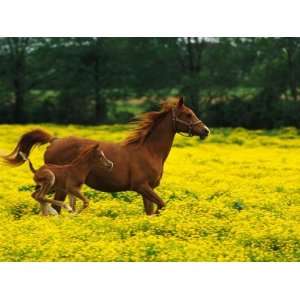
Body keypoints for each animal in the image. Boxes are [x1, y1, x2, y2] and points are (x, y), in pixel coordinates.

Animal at [2, 97, 209, 214]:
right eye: (188, 114)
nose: (205, 131)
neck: (149, 151)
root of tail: (54, 140)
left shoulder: (147, 190)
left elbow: (150, 212)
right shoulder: (142, 187)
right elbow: (162, 206)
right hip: (60, 187)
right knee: (54, 205)